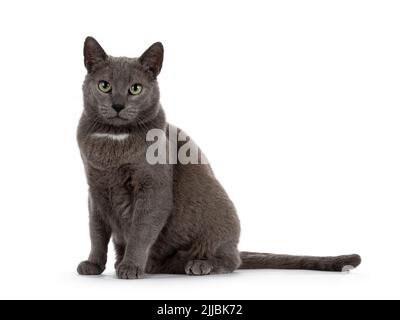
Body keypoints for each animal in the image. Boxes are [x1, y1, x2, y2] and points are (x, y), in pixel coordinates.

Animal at [76, 37, 360, 278]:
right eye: (104, 86)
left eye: (135, 89)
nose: (118, 105)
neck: (114, 141)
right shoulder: (95, 190)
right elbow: (96, 232)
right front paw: (93, 264)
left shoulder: (153, 189)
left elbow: (140, 230)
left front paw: (131, 267)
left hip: (219, 213)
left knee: (231, 260)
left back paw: (198, 265)